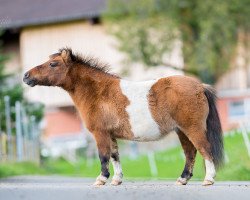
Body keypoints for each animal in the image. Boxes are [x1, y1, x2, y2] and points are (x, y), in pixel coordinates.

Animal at [22, 48, 224, 186]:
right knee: (190, 153)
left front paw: (101, 179)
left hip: (193, 129)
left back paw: (208, 179)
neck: (99, 92)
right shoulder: (111, 135)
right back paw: (182, 179)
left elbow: (103, 156)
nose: (26, 76)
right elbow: (114, 156)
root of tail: (200, 86)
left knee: (205, 149)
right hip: (182, 131)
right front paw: (116, 180)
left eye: (53, 64)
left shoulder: (100, 133)